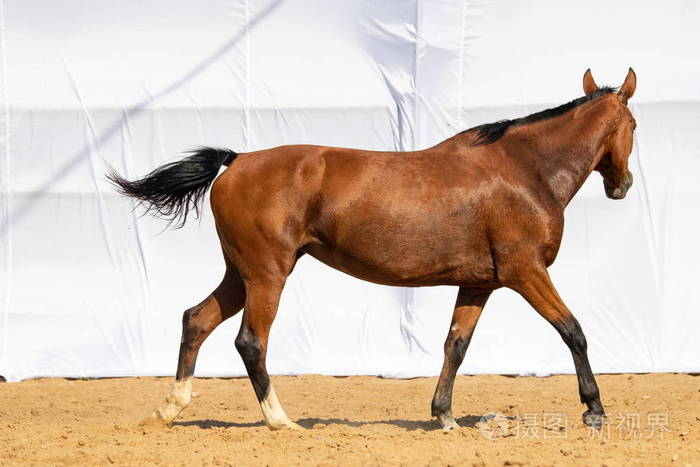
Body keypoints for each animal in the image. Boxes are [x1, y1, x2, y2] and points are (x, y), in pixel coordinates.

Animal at [108, 67, 636, 434]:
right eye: (633, 122)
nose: (623, 185)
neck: (525, 170)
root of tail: (236, 161)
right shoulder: (526, 272)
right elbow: (573, 331)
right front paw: (594, 409)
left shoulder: (478, 283)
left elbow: (455, 345)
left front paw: (443, 416)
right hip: (267, 274)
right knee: (250, 342)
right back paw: (280, 420)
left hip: (241, 273)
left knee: (196, 320)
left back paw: (169, 409)